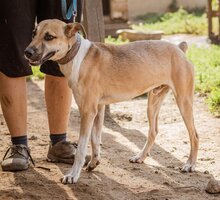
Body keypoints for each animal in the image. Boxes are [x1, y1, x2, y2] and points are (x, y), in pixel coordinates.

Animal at [24, 19, 199, 184]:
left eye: (49, 37)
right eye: (33, 33)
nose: (27, 52)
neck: (77, 57)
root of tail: (179, 48)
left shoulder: (87, 111)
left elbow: (81, 147)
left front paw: (73, 175)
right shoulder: (98, 108)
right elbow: (95, 139)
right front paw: (94, 163)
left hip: (183, 102)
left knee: (194, 135)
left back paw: (190, 164)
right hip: (153, 102)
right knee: (153, 131)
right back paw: (140, 157)